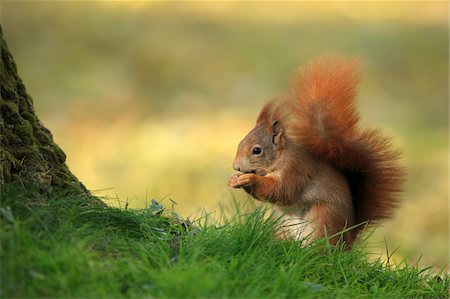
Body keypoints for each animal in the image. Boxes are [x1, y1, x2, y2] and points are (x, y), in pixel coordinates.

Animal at [229, 58, 404, 246]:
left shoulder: (295, 170)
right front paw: (234, 179)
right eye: (240, 143)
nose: (236, 166)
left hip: (324, 219)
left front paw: (249, 179)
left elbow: (280, 191)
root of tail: (349, 237)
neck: (280, 158)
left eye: (257, 150)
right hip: (280, 223)